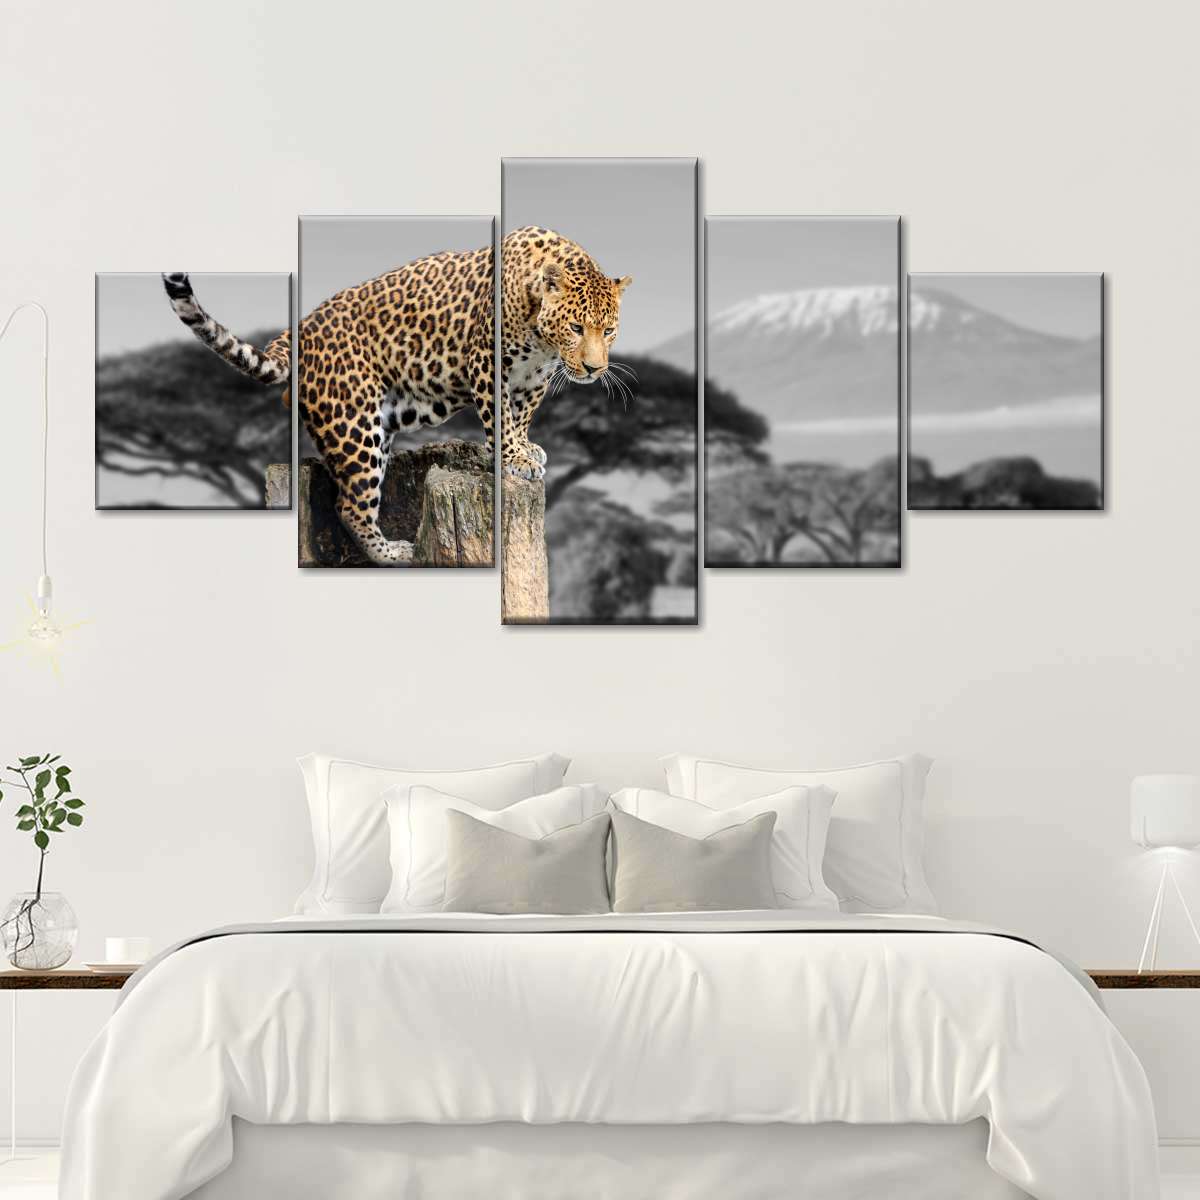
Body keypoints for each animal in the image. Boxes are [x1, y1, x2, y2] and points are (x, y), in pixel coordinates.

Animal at [162, 226, 631, 565]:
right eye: (576, 327)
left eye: (608, 330)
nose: (595, 369)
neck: (542, 337)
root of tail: (298, 331)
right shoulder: (487, 362)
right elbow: (499, 415)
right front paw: (513, 457)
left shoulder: (534, 379)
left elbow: (522, 415)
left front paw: (525, 448)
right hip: (354, 427)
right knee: (349, 505)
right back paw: (393, 553)